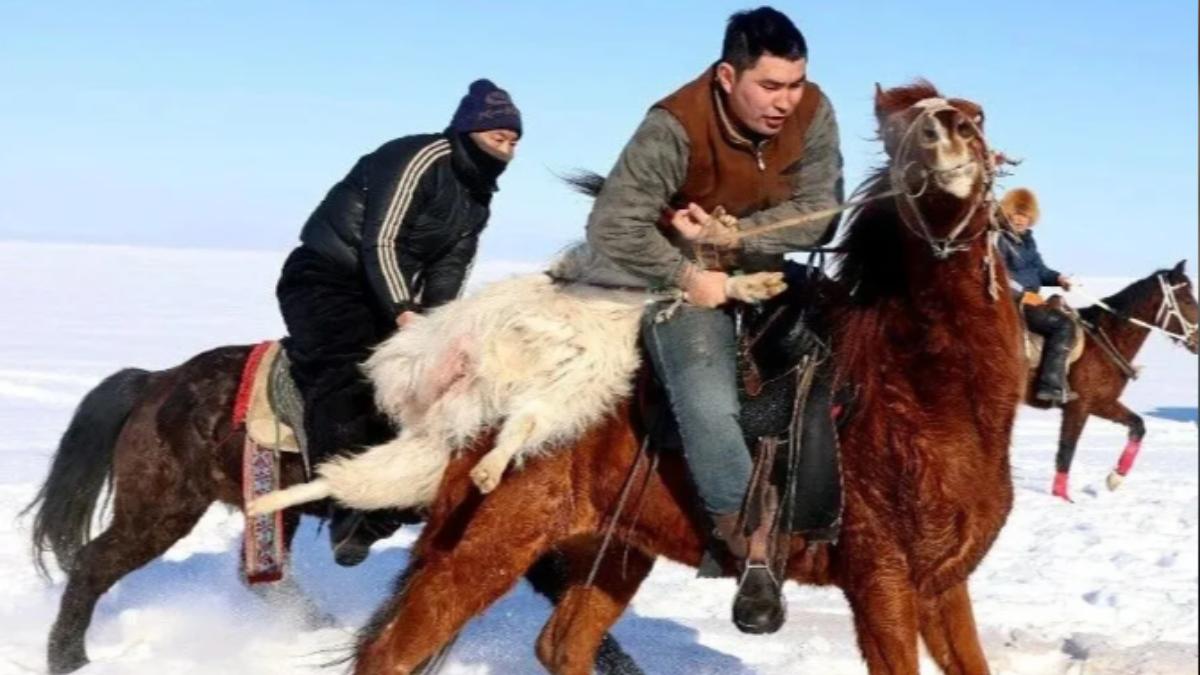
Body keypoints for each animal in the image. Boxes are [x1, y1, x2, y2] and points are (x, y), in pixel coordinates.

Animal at [350, 80, 1025, 675]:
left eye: (978, 115)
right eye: (897, 131)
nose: (947, 133)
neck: (919, 394)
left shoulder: (940, 585)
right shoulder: (882, 583)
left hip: (612, 550)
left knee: (562, 645)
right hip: (481, 546)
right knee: (391, 654)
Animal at [1033, 263, 1198, 501]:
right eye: (1187, 300)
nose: (1198, 341)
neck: (1107, 339)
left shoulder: (1101, 403)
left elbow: (1138, 425)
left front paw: (1115, 477)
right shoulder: (1078, 406)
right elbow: (1066, 449)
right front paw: (1062, 498)